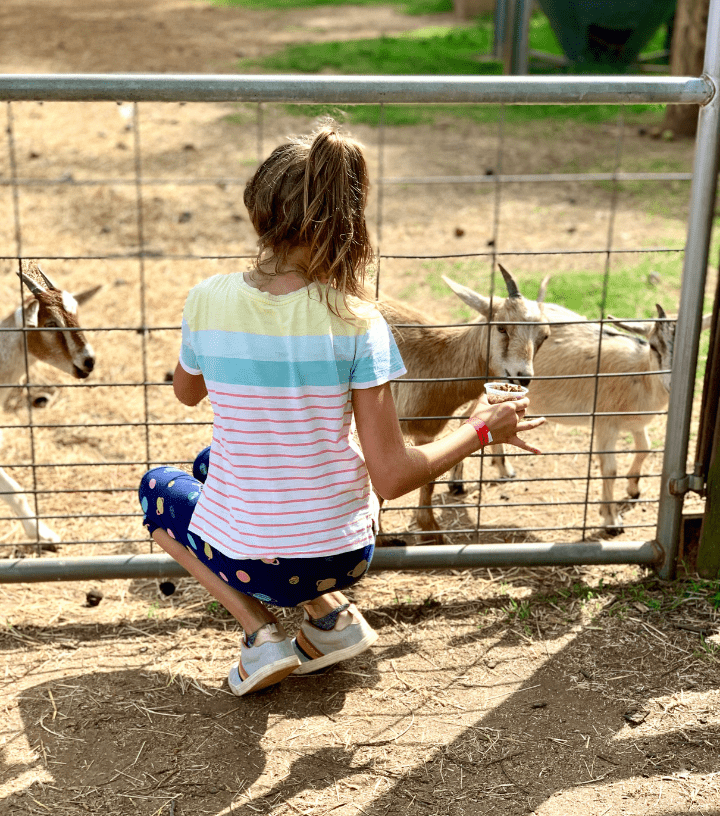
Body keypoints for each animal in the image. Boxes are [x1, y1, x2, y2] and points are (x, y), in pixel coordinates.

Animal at [376, 268, 552, 544]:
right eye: (501, 327)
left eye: (544, 336)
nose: (522, 377)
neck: (434, 357)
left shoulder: (425, 432)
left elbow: (425, 481)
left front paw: (427, 530)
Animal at [450, 290, 716, 532]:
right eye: (654, 347)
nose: (672, 384)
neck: (641, 375)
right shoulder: (606, 423)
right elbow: (610, 469)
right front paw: (611, 520)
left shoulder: (636, 422)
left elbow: (645, 448)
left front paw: (633, 488)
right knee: (465, 417)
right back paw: (457, 483)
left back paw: (504, 469)